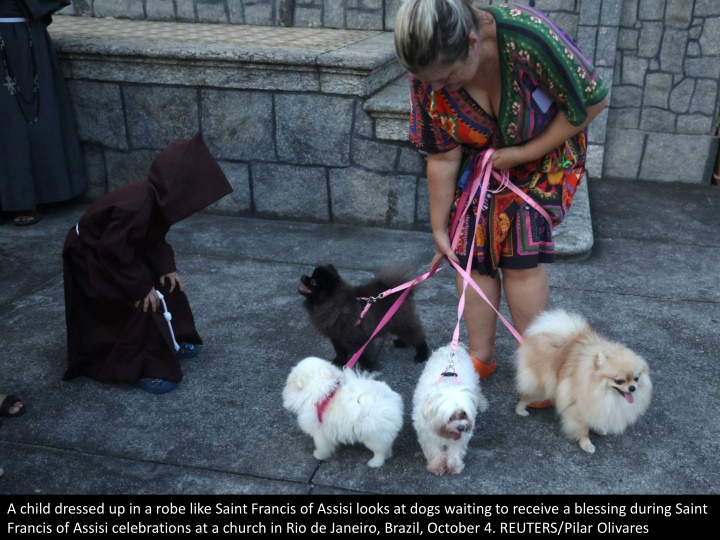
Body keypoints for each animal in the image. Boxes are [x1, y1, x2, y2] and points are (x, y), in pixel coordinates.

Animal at [296, 264, 428, 372]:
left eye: (313, 282)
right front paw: (339, 362)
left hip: (402, 321)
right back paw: (402, 343)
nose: (303, 276)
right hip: (393, 322)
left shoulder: (357, 338)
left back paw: (422, 355)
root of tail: (401, 290)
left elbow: (364, 355)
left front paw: (366, 370)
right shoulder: (337, 338)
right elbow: (340, 351)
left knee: (417, 336)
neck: (335, 304)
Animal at [410, 344, 490, 474]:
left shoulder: (460, 438)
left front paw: (454, 466)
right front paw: (437, 466)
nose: (461, 428)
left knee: (477, 392)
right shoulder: (427, 435)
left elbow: (455, 452)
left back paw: (482, 404)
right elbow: (434, 451)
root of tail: (450, 349)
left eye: (464, 414)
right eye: (450, 417)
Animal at [512, 308, 652, 452]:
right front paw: (586, 444)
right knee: (526, 396)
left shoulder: (599, 406)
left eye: (636, 378)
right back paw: (520, 410)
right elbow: (583, 430)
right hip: (542, 387)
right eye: (619, 381)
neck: (601, 390)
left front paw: (599, 429)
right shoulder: (580, 408)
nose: (632, 388)